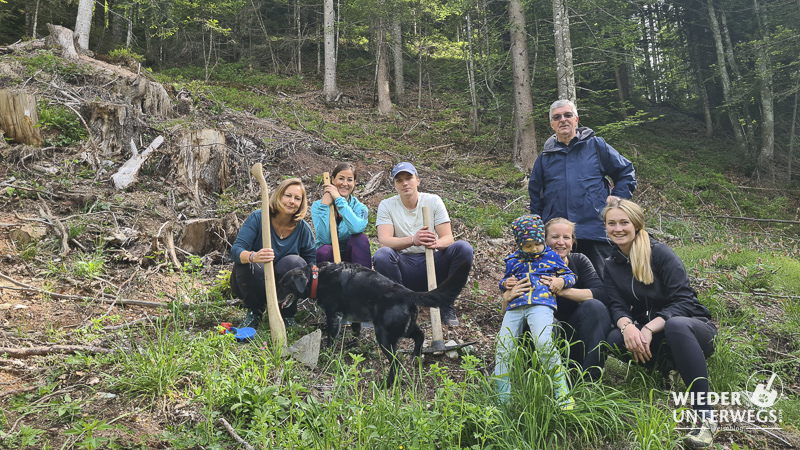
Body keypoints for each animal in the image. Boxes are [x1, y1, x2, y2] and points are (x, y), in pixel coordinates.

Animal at [278, 260, 472, 384]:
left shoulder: (334, 316)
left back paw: (387, 383)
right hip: (403, 329)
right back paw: (416, 355)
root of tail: (407, 293)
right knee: (420, 334)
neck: (317, 278)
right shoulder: (354, 315)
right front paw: (353, 345)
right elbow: (356, 331)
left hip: (384, 337)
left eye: (284, 285)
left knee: (396, 362)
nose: (274, 299)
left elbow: (332, 339)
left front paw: (327, 354)